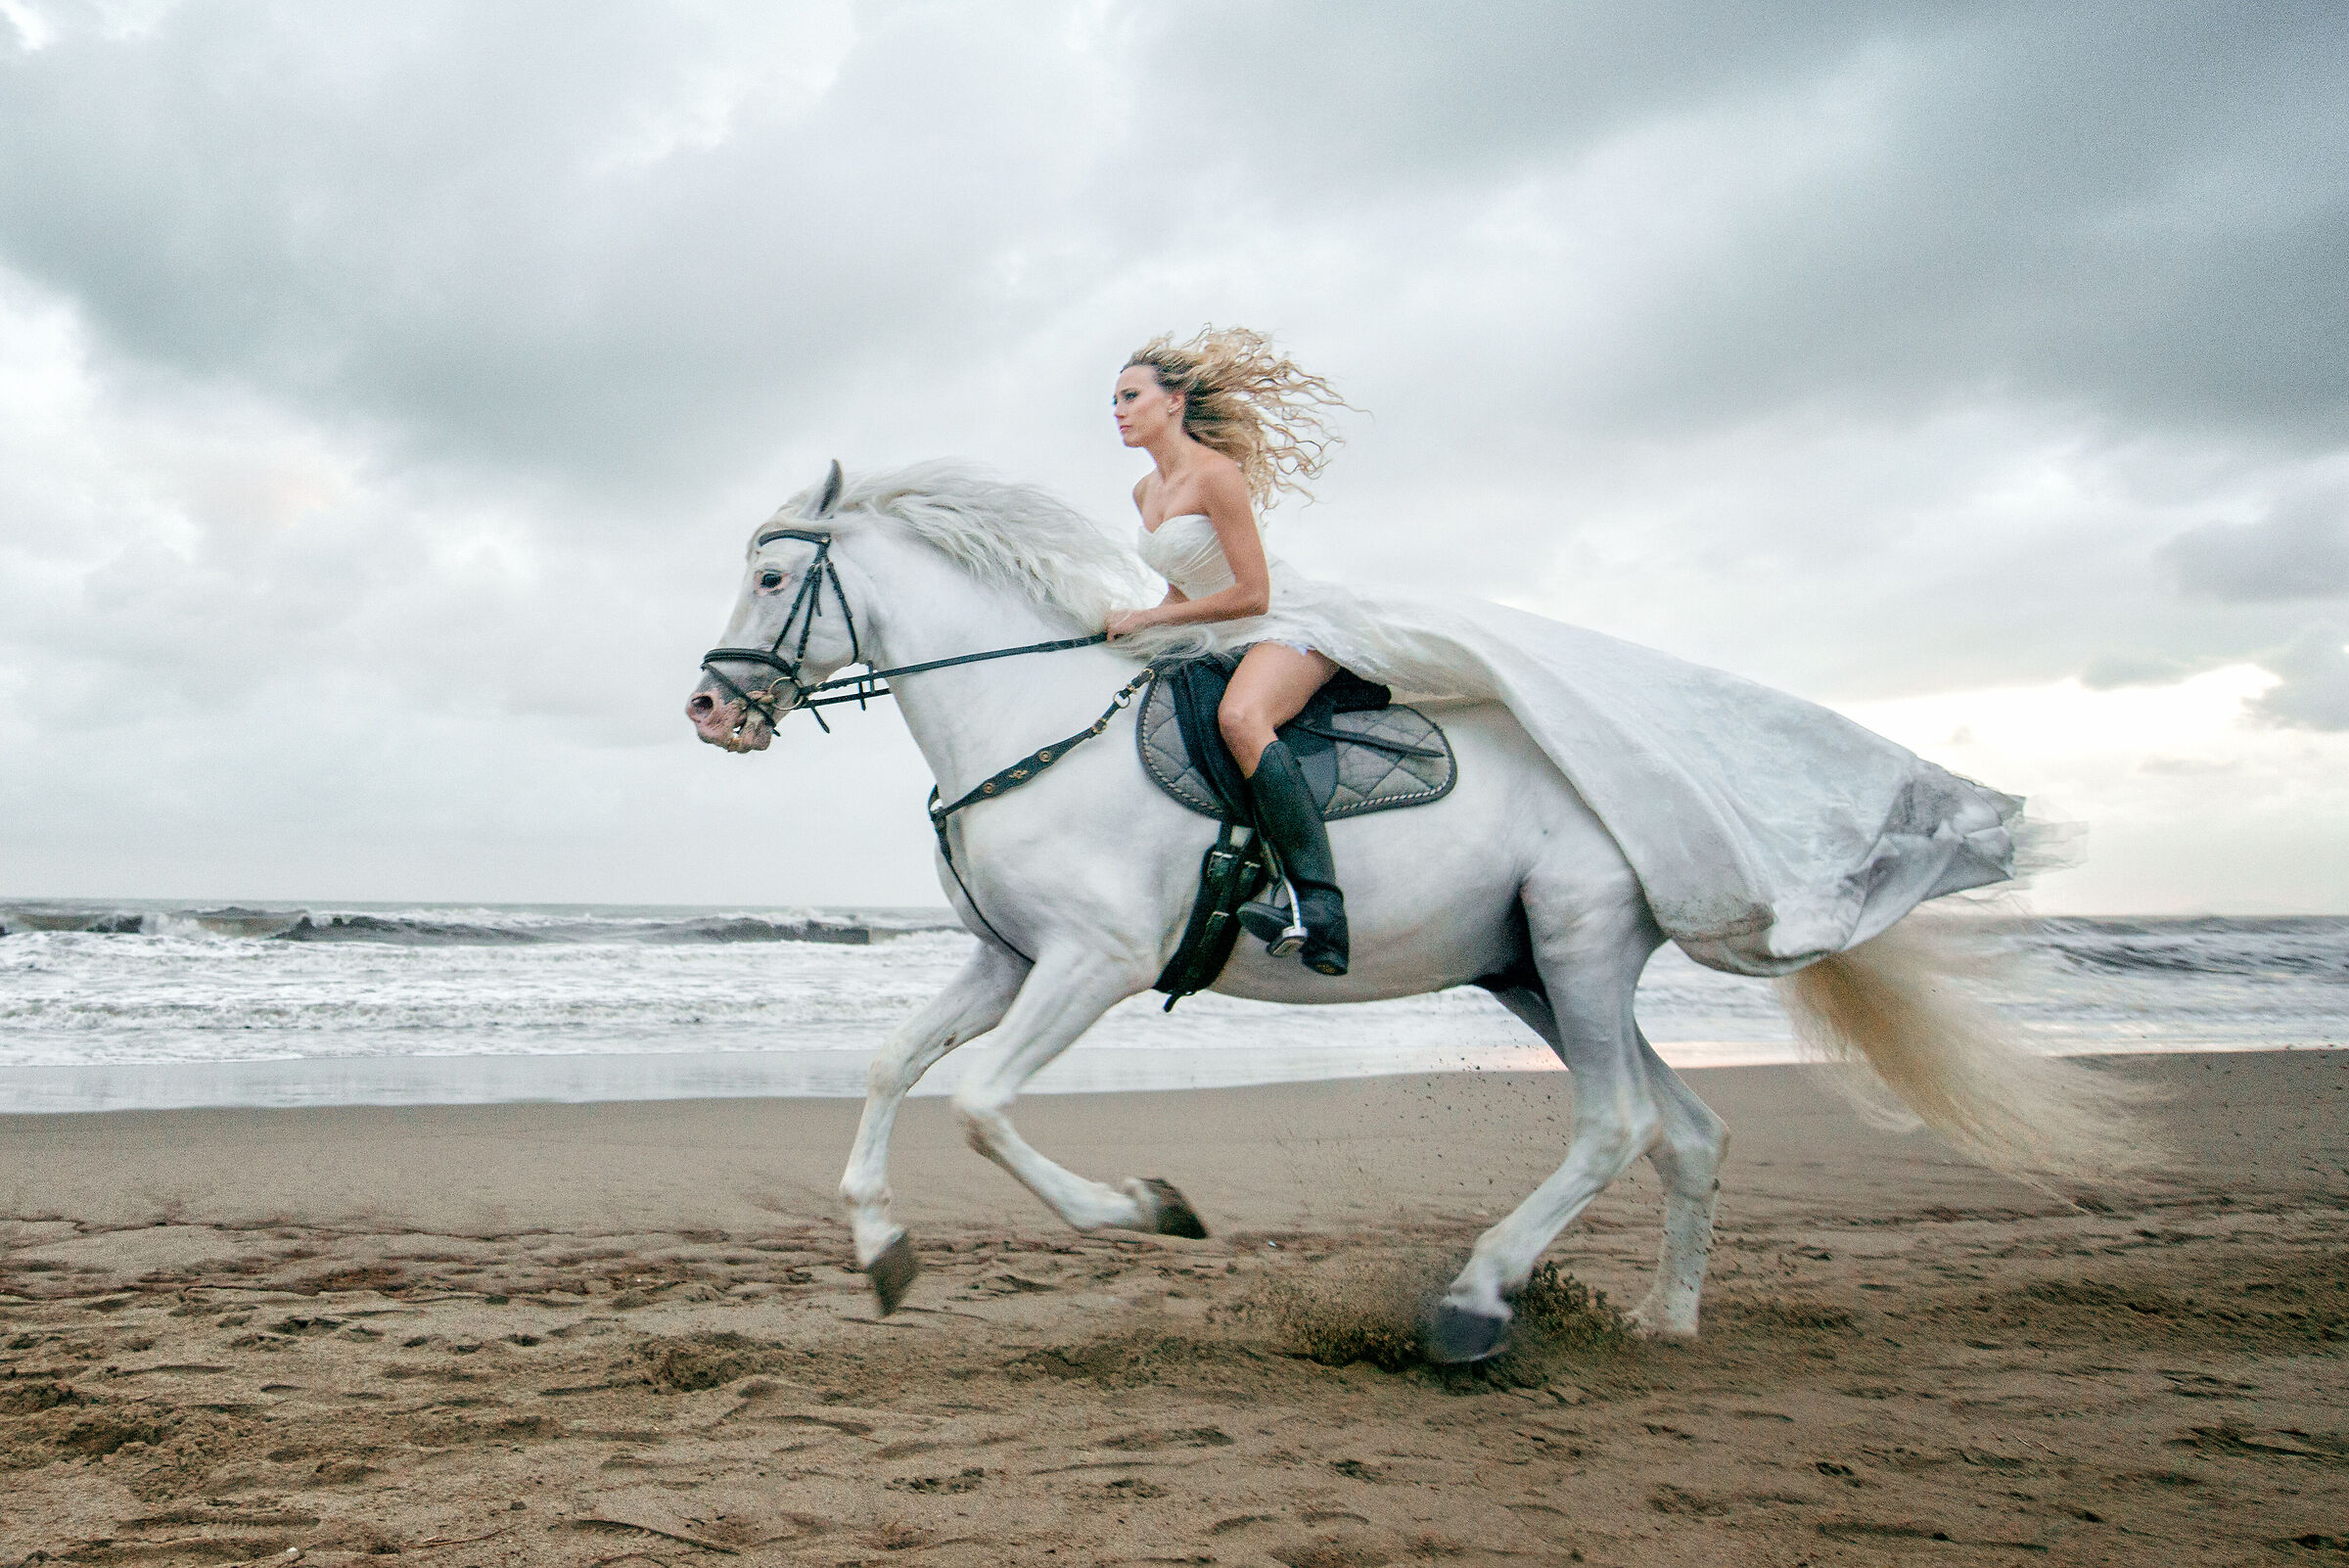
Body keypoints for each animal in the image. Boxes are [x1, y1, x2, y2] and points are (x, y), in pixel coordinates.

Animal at [684, 460, 2130, 1362]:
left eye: (774, 579)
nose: (706, 706)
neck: (1031, 722)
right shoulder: (1007, 958)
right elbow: (890, 1065)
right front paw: (882, 1245)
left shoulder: (1094, 961)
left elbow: (982, 1107)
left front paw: (1152, 1208)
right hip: (1528, 969)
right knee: (1689, 1129)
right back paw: (1663, 1321)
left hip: (1577, 943)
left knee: (1617, 1124)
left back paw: (1477, 1303)